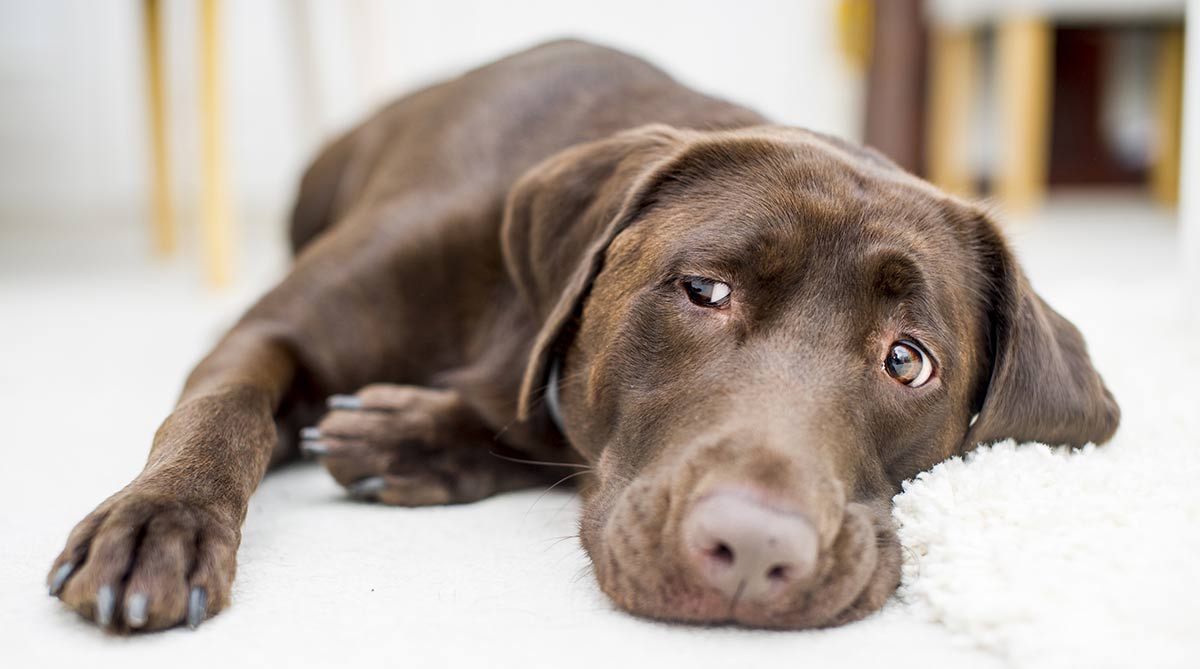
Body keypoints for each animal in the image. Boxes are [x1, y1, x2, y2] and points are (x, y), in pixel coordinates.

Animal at [44, 40, 1113, 633]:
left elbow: (531, 421)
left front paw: (411, 438)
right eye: (704, 290)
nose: (755, 552)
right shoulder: (267, 333)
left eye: (906, 358)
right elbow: (222, 416)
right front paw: (161, 524)